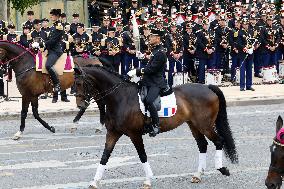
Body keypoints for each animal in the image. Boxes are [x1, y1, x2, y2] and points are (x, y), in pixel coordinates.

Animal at [74, 64, 240, 188]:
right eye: (74, 84)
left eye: (80, 83)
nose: (81, 105)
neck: (120, 98)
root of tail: (208, 87)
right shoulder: (113, 133)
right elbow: (105, 156)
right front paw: (94, 182)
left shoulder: (134, 134)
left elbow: (142, 155)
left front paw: (148, 180)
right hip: (194, 125)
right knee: (203, 145)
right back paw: (198, 175)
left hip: (204, 125)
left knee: (218, 141)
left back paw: (222, 169)